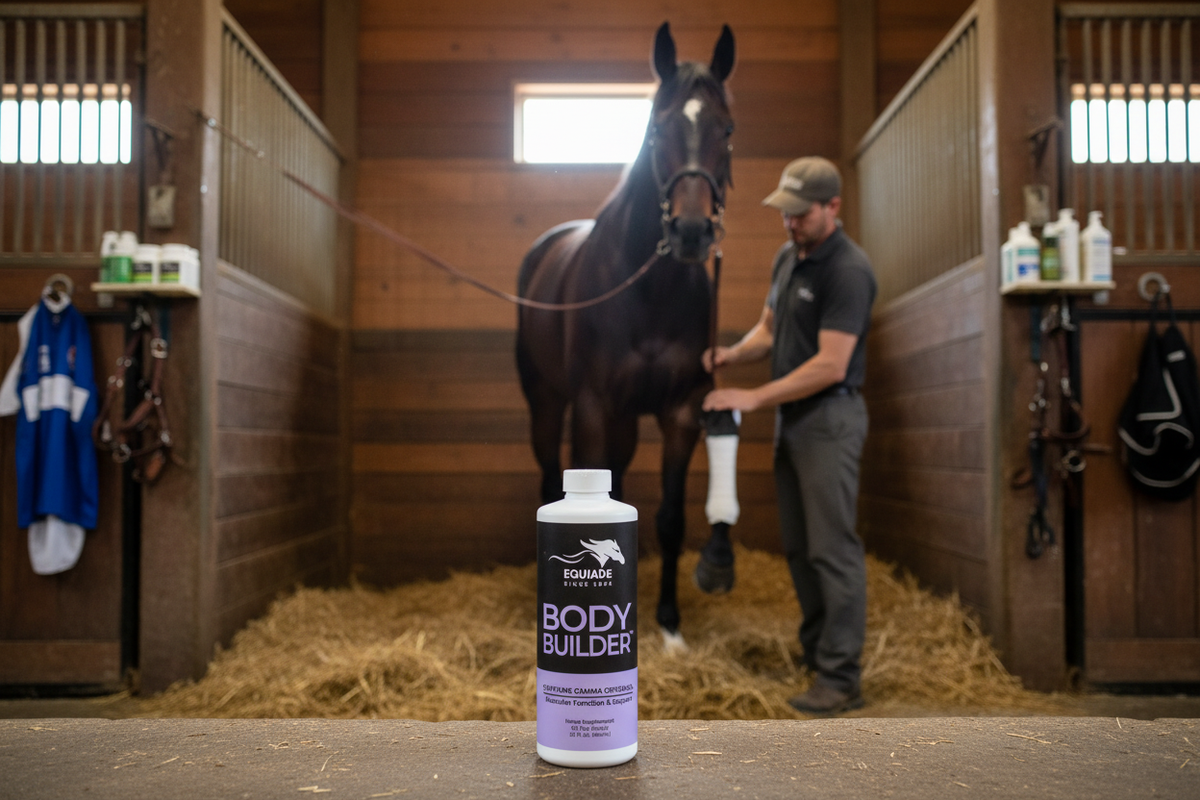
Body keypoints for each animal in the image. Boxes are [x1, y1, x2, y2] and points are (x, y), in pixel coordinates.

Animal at [516, 22, 736, 646]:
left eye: (726, 129)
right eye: (657, 127)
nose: (691, 230)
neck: (649, 292)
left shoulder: (681, 413)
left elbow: (669, 517)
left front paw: (669, 623)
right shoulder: (591, 405)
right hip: (548, 403)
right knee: (548, 473)